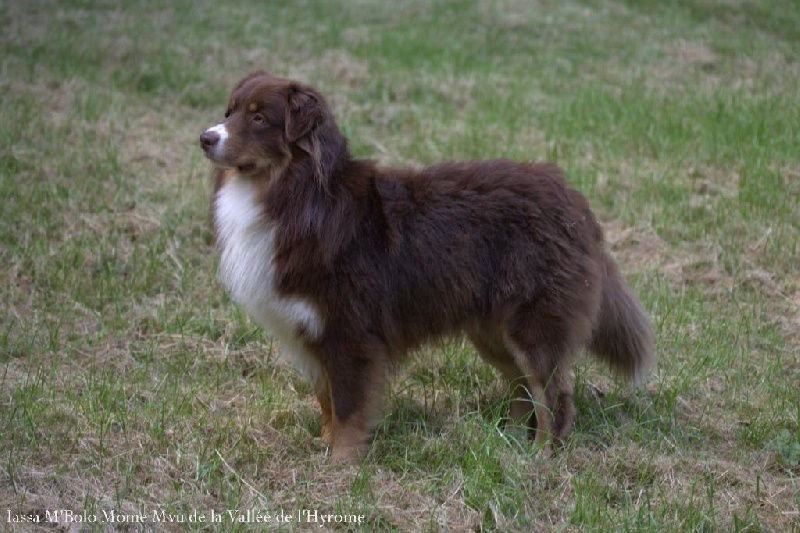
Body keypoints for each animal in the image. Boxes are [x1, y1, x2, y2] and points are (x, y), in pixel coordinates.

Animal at [200, 71, 656, 462]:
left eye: (259, 118)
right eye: (229, 111)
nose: (205, 138)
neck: (295, 195)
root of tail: (573, 198)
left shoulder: (348, 332)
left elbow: (347, 406)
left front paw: (342, 465)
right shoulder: (312, 331)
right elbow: (326, 399)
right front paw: (325, 446)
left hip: (533, 325)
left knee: (552, 394)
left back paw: (541, 454)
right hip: (491, 332)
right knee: (521, 386)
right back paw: (509, 440)